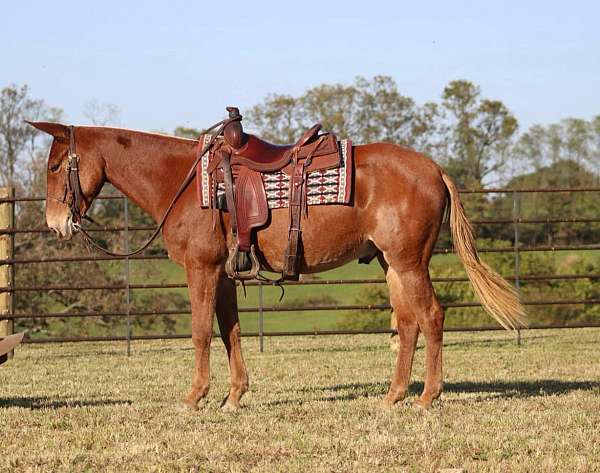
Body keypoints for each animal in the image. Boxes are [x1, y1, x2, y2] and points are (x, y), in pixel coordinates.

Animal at [29, 121, 524, 410]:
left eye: (54, 166)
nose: (55, 223)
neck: (184, 183)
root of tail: (433, 168)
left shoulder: (201, 268)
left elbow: (200, 331)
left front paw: (194, 397)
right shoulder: (224, 273)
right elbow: (229, 330)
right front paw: (233, 397)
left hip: (409, 261)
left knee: (432, 317)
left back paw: (426, 398)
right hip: (392, 264)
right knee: (407, 323)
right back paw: (393, 396)